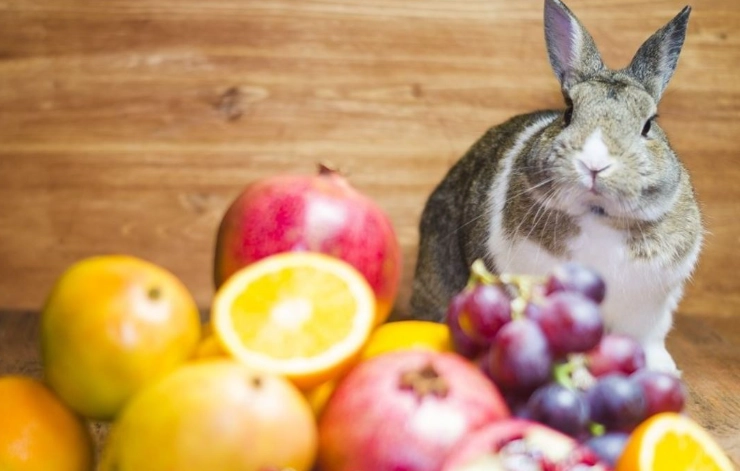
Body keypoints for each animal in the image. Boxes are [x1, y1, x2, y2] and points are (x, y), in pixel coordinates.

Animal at [409, 0, 703, 374]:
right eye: (568, 112)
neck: (598, 216)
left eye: (648, 125)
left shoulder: (650, 308)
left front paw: (662, 370)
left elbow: (649, 340)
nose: (594, 163)